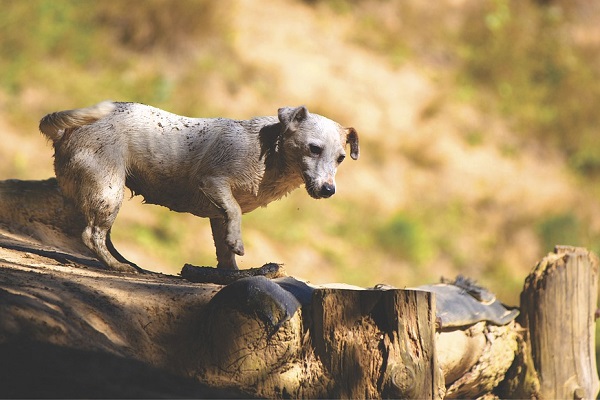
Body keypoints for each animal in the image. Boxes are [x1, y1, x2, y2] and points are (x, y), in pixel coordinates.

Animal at [39, 101, 358, 274]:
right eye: (314, 148)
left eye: (341, 158)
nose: (329, 190)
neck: (269, 152)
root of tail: (67, 128)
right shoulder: (213, 183)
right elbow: (235, 213)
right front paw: (238, 243)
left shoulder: (218, 216)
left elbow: (225, 250)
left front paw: (233, 271)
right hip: (108, 190)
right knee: (91, 235)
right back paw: (116, 266)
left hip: (102, 193)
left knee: (100, 234)